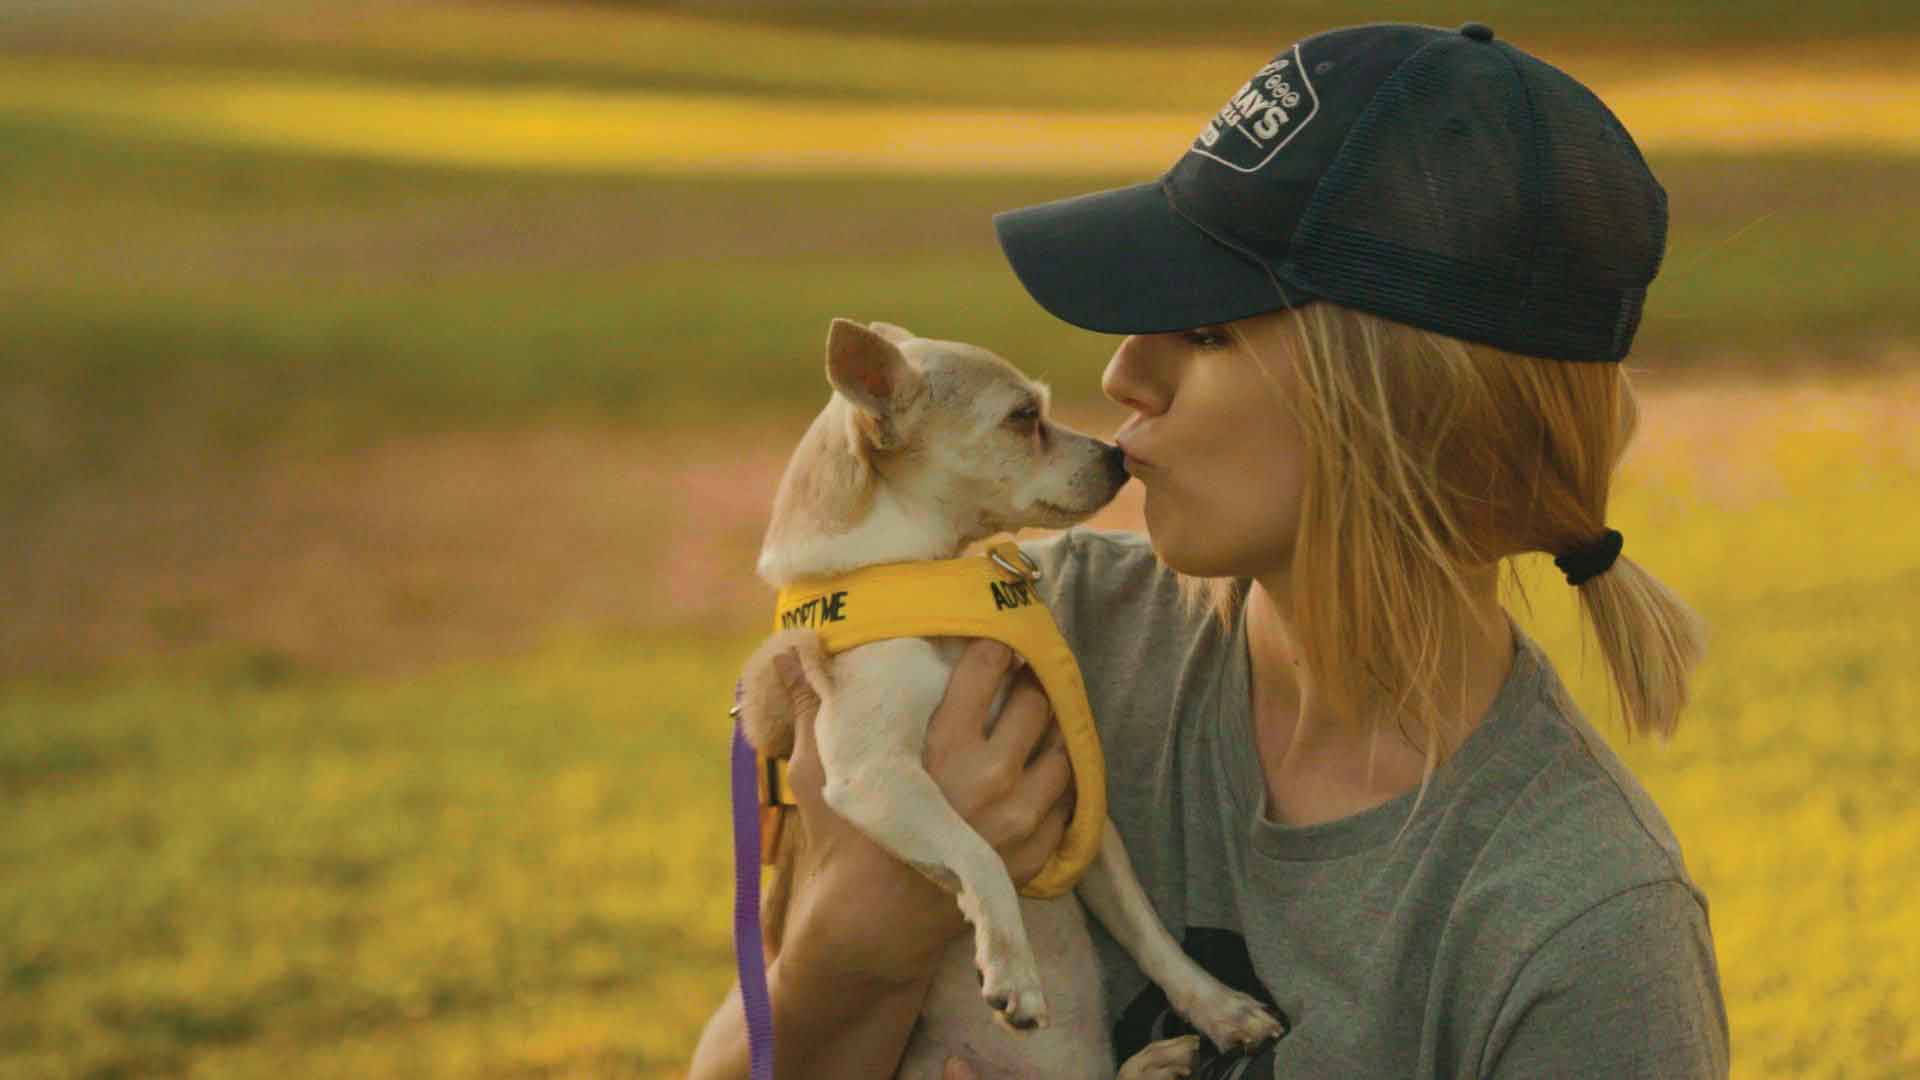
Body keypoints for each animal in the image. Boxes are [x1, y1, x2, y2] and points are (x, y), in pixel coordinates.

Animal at [741, 319, 1282, 1076]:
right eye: (1024, 418)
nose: (1119, 454)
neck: (930, 579)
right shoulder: (875, 775)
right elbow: (980, 853)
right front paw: (1014, 970)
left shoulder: (1084, 807)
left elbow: (1146, 926)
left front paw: (1219, 1007)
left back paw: (1153, 1062)